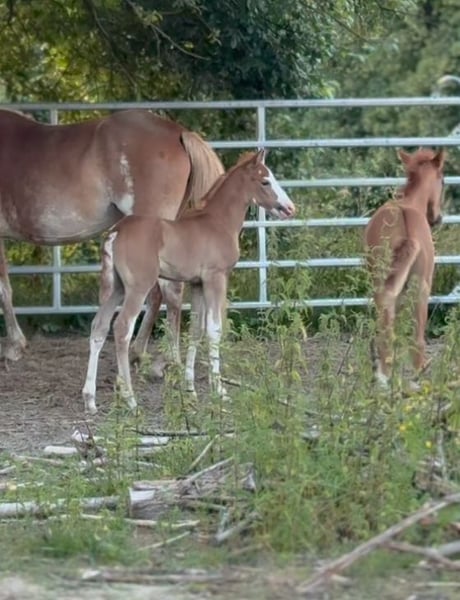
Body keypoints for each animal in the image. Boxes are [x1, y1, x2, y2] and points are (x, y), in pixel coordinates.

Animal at [0, 108, 224, 361]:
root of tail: (179, 132)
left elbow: (3, 290)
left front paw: (14, 346)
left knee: (169, 291)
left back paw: (169, 359)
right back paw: (139, 351)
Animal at [82, 149, 296, 414]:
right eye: (265, 181)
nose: (289, 208)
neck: (217, 222)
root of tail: (116, 231)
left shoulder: (197, 284)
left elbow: (195, 331)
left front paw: (190, 389)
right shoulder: (215, 278)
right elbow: (214, 329)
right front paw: (219, 390)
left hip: (117, 288)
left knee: (99, 327)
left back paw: (90, 400)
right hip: (137, 288)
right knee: (122, 328)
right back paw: (131, 400)